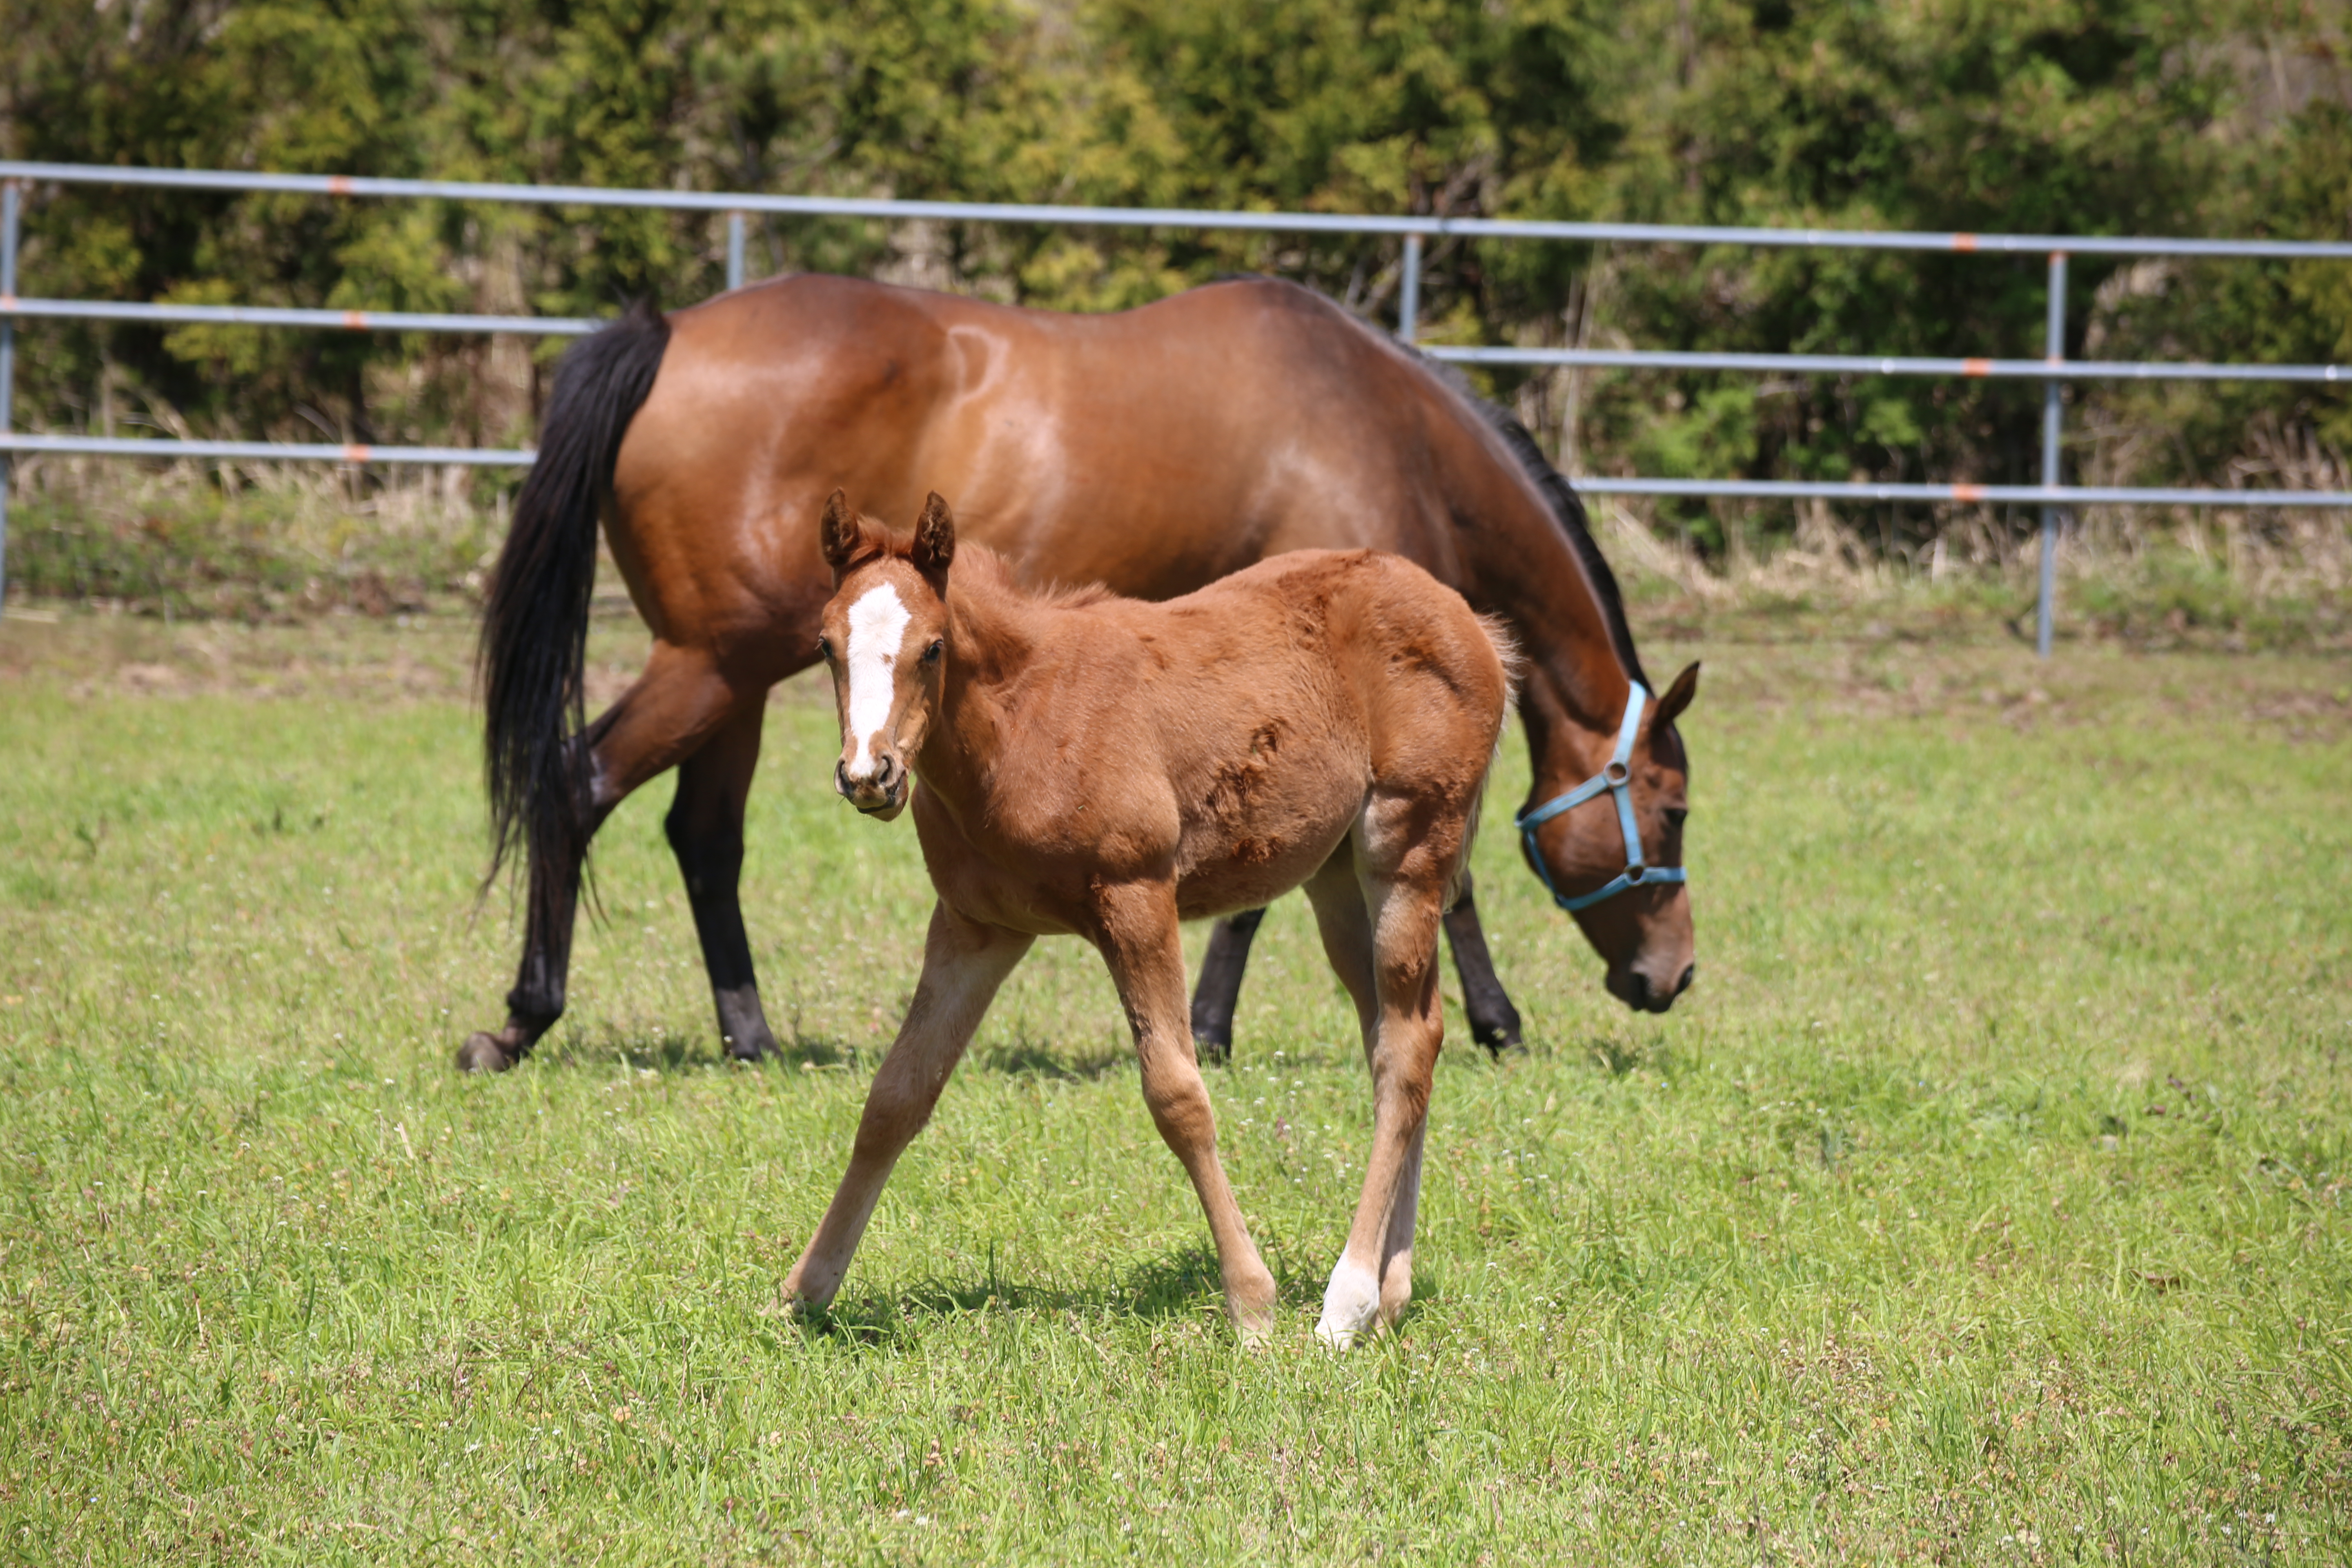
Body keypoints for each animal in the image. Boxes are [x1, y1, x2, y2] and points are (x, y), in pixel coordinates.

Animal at [790, 496, 1515, 1345]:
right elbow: (896, 1096)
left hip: (1406, 848)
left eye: (931, 648)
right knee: (1407, 1035)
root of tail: (1469, 619)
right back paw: (1390, 1292)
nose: (869, 775)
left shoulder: (1137, 898)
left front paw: (1252, 1305)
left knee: (1402, 1047)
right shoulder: (976, 928)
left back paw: (1348, 1302)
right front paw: (806, 1290)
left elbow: (1177, 1095)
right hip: (1336, 884)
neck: (1024, 718)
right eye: (827, 645)